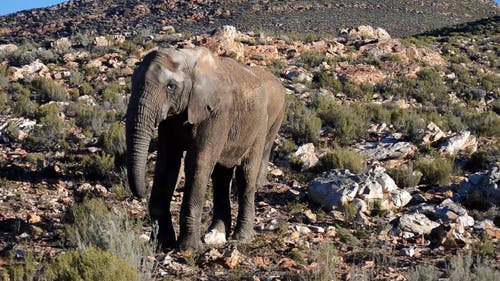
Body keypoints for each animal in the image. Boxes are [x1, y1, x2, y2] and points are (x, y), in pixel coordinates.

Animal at [126, 46, 286, 249]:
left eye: (171, 86)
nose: (144, 191)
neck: (187, 58)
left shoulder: (216, 113)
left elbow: (198, 163)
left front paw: (189, 248)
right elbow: (168, 163)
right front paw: (162, 244)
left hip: (260, 126)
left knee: (246, 177)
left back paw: (241, 238)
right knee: (221, 177)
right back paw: (216, 234)